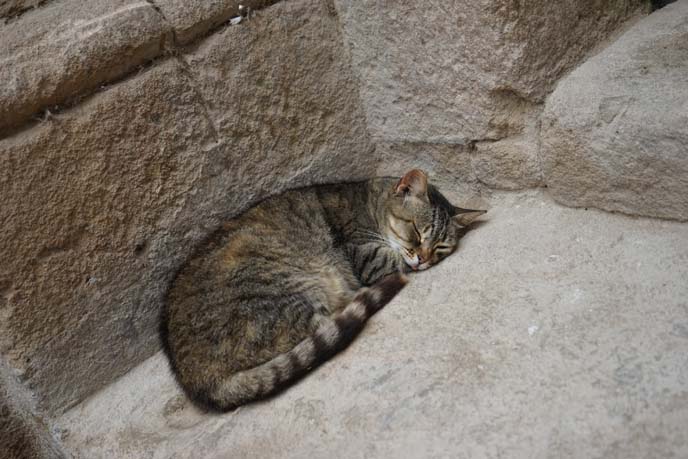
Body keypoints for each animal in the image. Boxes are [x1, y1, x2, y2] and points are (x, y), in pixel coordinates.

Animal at [160, 170, 484, 414]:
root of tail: (195, 377)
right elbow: (393, 261)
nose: (424, 259)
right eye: (417, 232)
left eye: (440, 247)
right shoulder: (365, 254)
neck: (369, 203)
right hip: (288, 287)